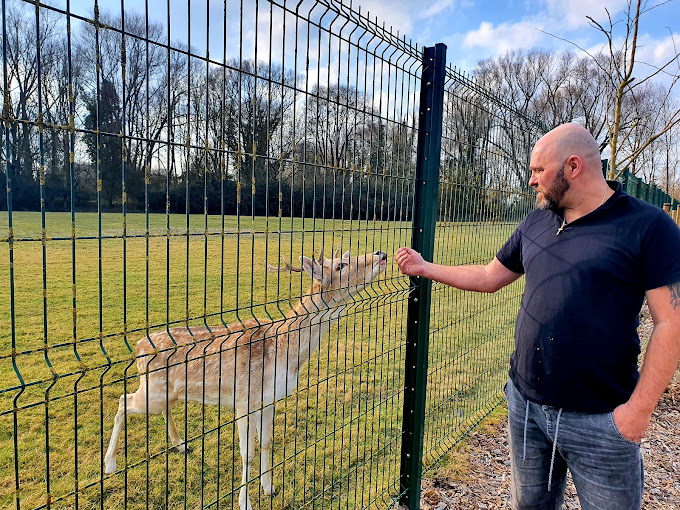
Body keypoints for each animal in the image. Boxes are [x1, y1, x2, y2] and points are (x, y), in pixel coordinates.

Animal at [103, 248, 386, 510]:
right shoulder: (244, 400)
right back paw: (110, 464)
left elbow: (267, 443)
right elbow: (247, 453)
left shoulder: (269, 400)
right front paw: (245, 503)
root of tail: (138, 346)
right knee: (123, 401)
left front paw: (269, 488)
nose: (381, 254)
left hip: (166, 392)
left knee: (161, 408)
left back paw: (181, 445)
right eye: (340, 265)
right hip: (151, 390)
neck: (285, 354)